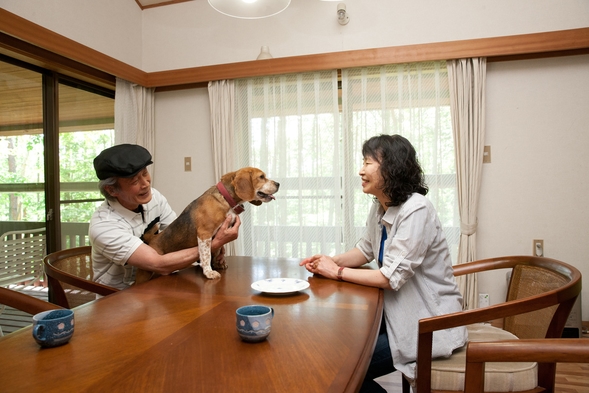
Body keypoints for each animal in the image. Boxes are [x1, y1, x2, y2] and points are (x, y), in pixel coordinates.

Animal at [136, 165, 278, 282]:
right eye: (261, 177)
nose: (278, 183)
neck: (225, 199)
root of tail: (153, 238)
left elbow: (216, 250)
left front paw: (218, 264)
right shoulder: (205, 234)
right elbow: (206, 255)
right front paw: (209, 272)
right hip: (144, 274)